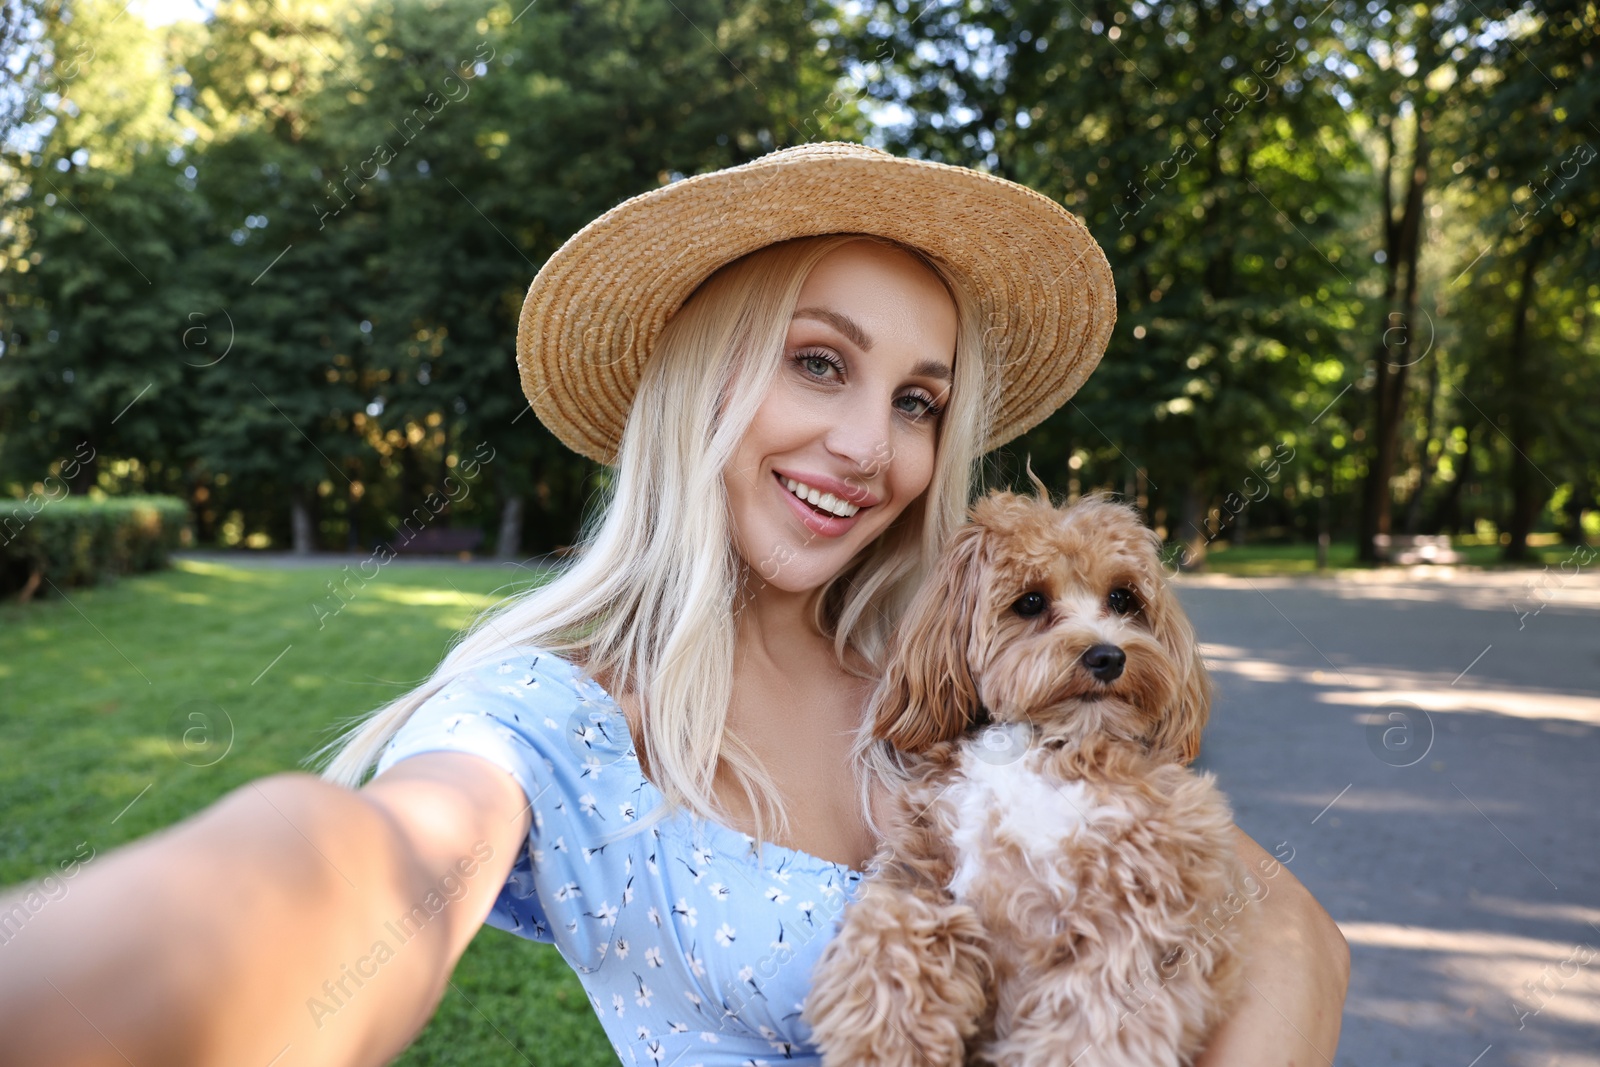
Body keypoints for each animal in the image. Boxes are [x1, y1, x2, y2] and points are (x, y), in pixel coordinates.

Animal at [812, 489, 1248, 1062]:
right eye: (1031, 603)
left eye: (1123, 599)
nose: (1107, 655)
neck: (1038, 747)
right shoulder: (923, 867)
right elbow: (889, 933)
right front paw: (886, 1042)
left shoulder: (1142, 912)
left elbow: (1094, 1020)